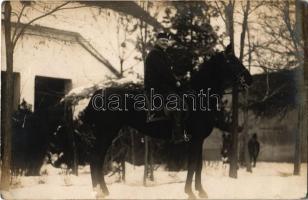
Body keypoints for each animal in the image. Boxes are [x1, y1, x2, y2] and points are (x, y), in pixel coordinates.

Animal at [82, 44, 253, 199]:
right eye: (232, 61)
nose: (249, 79)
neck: (199, 97)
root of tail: (98, 93)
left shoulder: (198, 140)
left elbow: (198, 166)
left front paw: (201, 191)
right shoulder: (196, 139)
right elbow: (193, 165)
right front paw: (190, 192)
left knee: (98, 159)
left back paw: (103, 191)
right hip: (106, 133)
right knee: (95, 158)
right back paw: (97, 192)